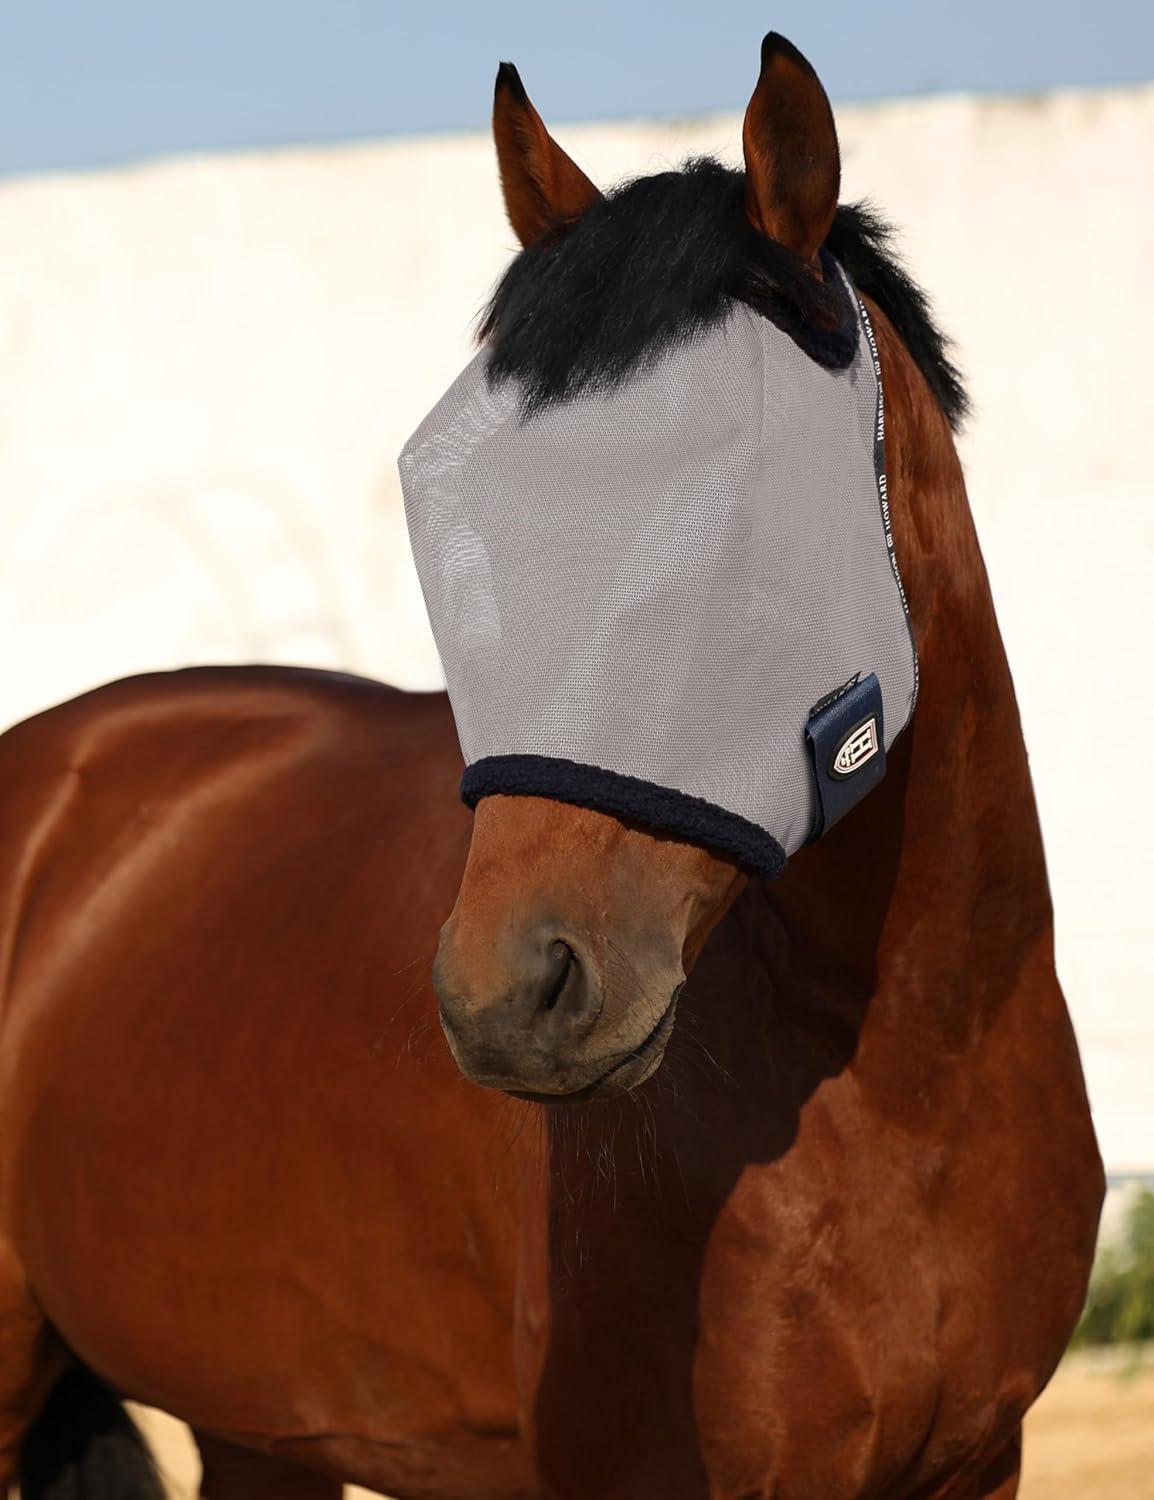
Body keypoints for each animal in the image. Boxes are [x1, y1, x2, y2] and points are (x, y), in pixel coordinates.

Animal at [0, 32, 1102, 1500]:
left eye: (746, 511)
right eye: (456, 506)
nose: (504, 995)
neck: (917, 1070)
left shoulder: (975, 1465)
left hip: (259, 1426)